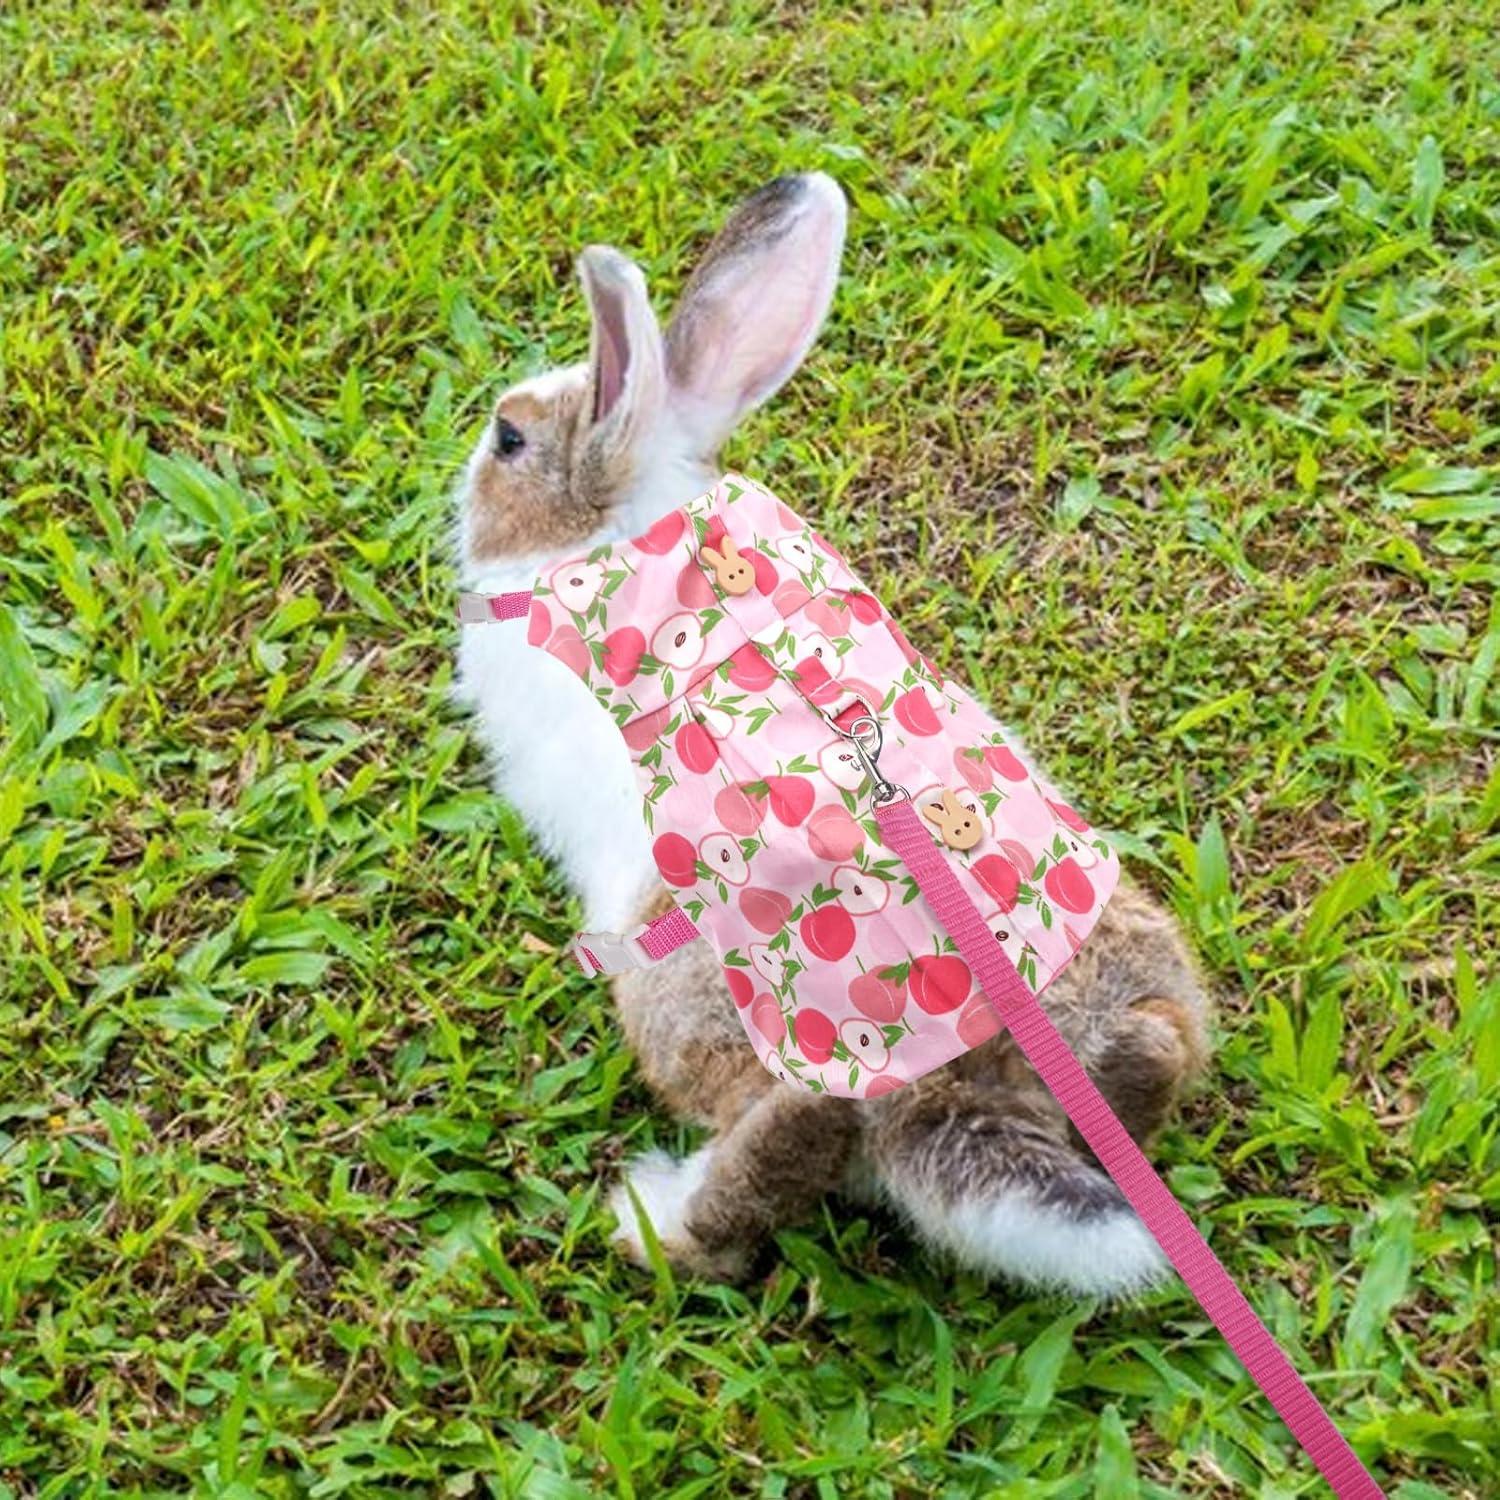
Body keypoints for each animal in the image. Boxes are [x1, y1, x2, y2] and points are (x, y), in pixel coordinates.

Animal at [454, 173, 1210, 1296]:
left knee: (791, 1136)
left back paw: (652, 1222)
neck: (621, 531)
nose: (469, 467)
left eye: (510, 442)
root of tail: (947, 1080)